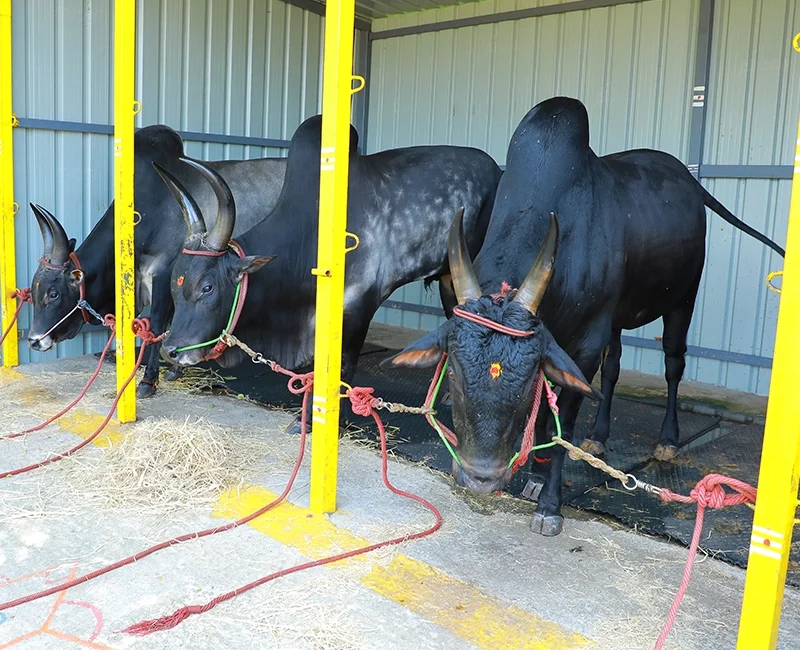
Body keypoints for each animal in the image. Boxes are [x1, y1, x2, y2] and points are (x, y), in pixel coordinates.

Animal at [27, 124, 287, 398]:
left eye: (53, 293)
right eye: (34, 290)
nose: (34, 340)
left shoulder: (163, 276)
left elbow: (157, 326)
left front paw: (148, 380)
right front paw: (174, 369)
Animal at [157, 114, 503, 433]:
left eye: (207, 287)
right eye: (175, 284)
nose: (169, 350)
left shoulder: (356, 310)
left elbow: (340, 370)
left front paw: (318, 422)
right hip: (449, 276)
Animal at [383, 96, 785, 536]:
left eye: (526, 383)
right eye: (453, 373)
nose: (479, 477)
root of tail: (686, 177)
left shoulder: (585, 346)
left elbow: (562, 422)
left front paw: (549, 503)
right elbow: (554, 408)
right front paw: (536, 475)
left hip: (683, 299)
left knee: (673, 364)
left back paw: (667, 440)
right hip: (620, 318)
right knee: (614, 368)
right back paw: (599, 436)